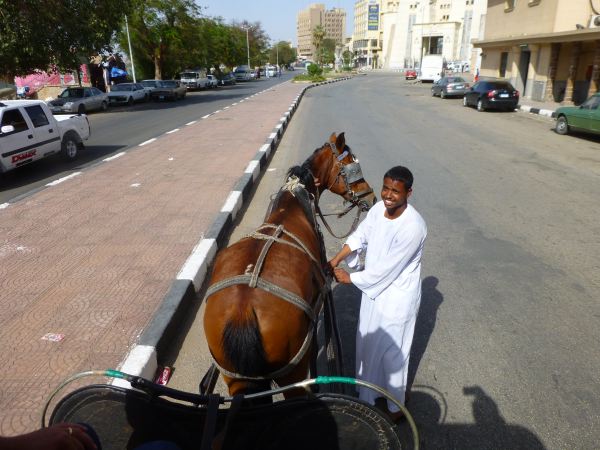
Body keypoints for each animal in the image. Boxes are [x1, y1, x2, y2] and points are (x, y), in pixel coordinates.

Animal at [204, 133, 378, 398]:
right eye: (351, 166)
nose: (371, 197)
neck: (293, 204)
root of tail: (243, 312)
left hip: (233, 377)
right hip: (292, 373)